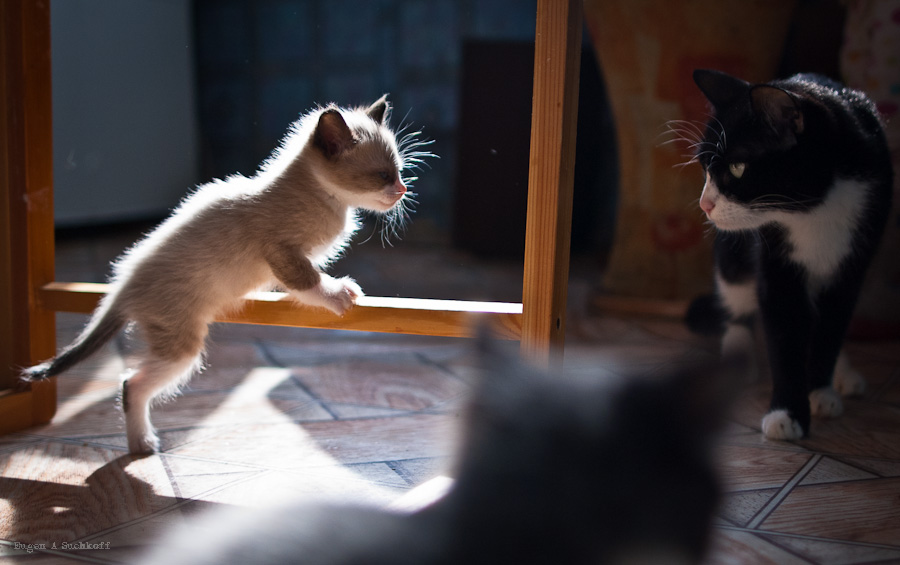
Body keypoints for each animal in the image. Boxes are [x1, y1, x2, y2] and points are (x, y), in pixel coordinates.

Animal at [22, 95, 430, 454]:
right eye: (383, 175)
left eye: (399, 171)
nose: (402, 189)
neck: (325, 198)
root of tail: (123, 283)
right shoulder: (281, 251)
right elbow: (307, 279)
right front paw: (338, 295)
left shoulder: (285, 258)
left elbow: (296, 283)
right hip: (181, 344)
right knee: (129, 384)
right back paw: (142, 445)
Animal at [682, 69, 893, 440]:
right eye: (705, 166)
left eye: (738, 167)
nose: (704, 204)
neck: (814, 211)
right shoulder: (775, 259)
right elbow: (784, 330)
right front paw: (787, 412)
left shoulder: (856, 254)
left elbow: (832, 324)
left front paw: (821, 390)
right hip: (734, 253)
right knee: (735, 291)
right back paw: (738, 354)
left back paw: (845, 373)